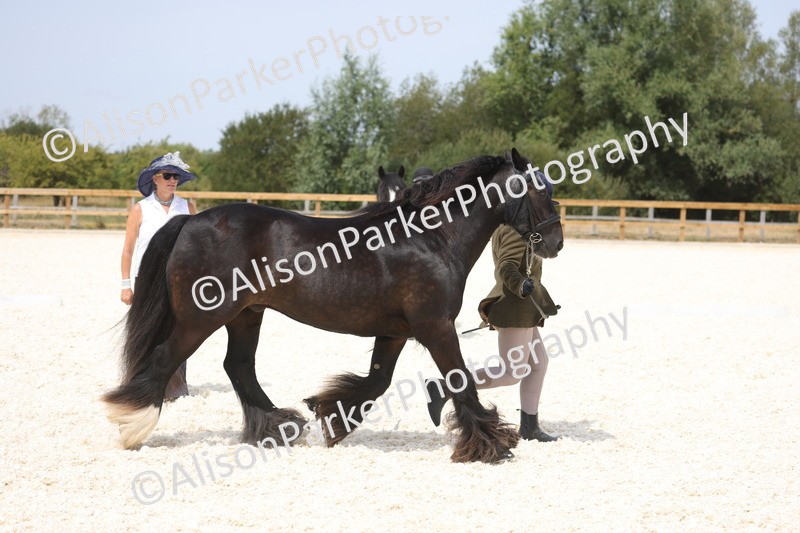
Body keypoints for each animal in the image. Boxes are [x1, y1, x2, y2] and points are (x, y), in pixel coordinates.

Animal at [102, 148, 564, 463]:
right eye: (539, 189)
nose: (556, 241)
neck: (430, 238)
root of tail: (189, 222)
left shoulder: (395, 332)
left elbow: (376, 382)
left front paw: (332, 417)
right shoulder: (435, 327)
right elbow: (459, 379)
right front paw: (491, 443)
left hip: (246, 315)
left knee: (238, 366)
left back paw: (278, 427)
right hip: (202, 318)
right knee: (166, 359)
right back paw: (133, 426)